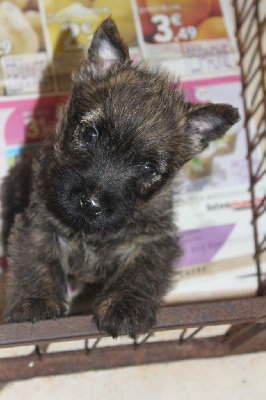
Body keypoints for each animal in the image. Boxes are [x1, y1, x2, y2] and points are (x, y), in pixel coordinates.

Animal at [1, 18, 239, 338]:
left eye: (148, 169)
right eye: (90, 134)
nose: (90, 203)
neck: (92, 233)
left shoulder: (153, 239)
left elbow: (139, 273)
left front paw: (125, 308)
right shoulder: (39, 222)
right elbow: (38, 259)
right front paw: (36, 301)